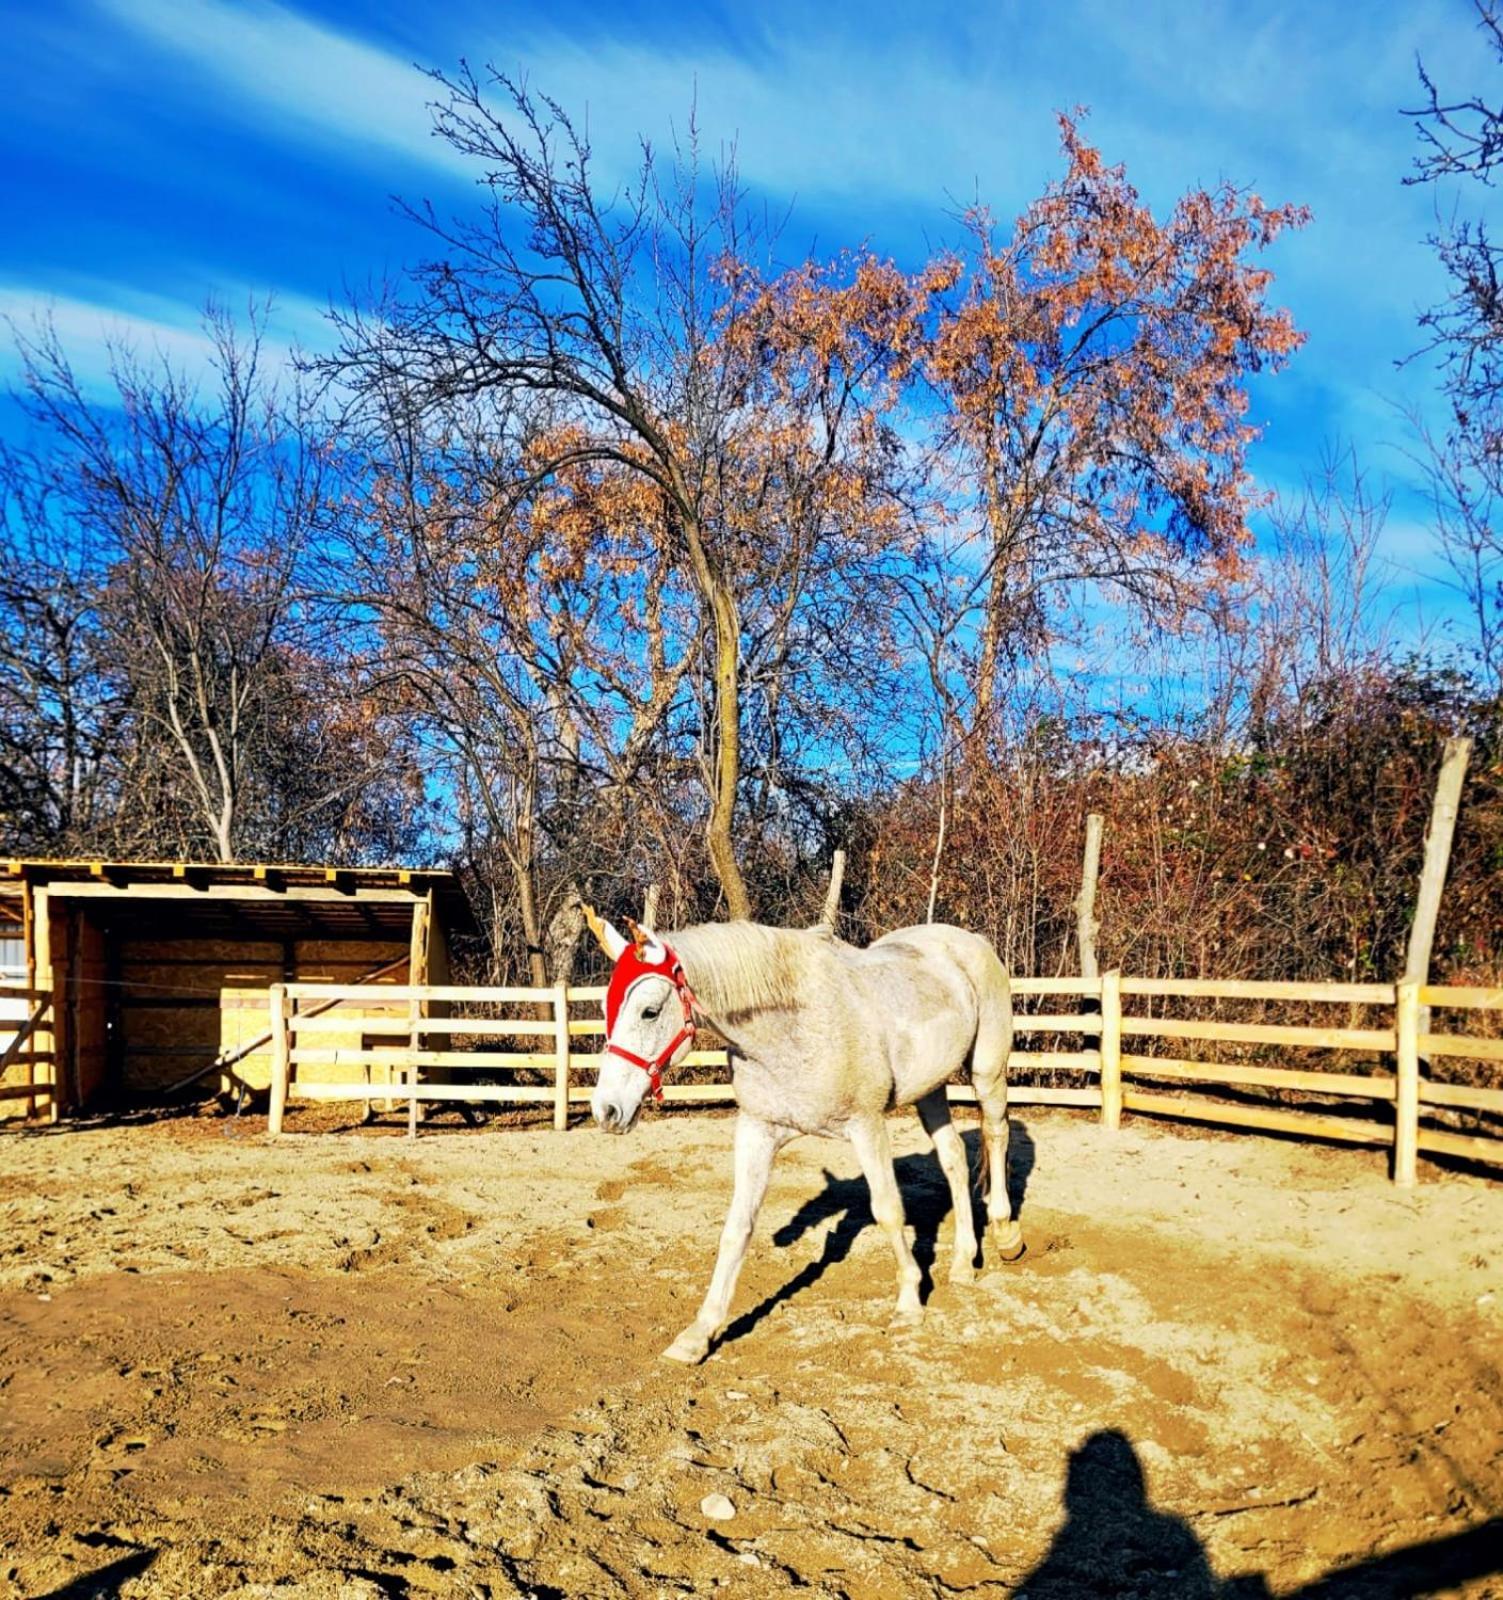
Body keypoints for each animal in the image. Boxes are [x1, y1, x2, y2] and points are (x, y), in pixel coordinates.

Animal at [585, 915, 1024, 1363]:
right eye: (605, 1008)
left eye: (650, 1011)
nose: (606, 1110)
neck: (792, 1029)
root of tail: (971, 940)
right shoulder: (757, 1130)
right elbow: (737, 1228)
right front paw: (698, 1334)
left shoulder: (866, 1125)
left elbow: (887, 1210)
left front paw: (909, 1301)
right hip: (930, 1089)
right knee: (953, 1157)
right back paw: (963, 1263)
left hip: (987, 1071)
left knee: (996, 1133)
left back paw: (1006, 1235)